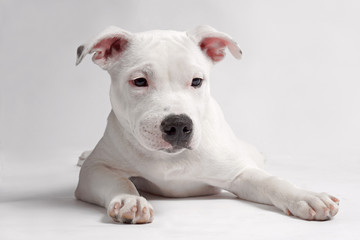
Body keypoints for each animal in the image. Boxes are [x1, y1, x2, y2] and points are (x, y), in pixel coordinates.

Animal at [74, 25, 338, 224]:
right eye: (139, 81)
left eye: (197, 81)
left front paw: (306, 196)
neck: (170, 159)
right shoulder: (94, 170)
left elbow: (271, 181)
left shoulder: (239, 174)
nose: (178, 125)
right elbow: (120, 180)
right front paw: (131, 200)